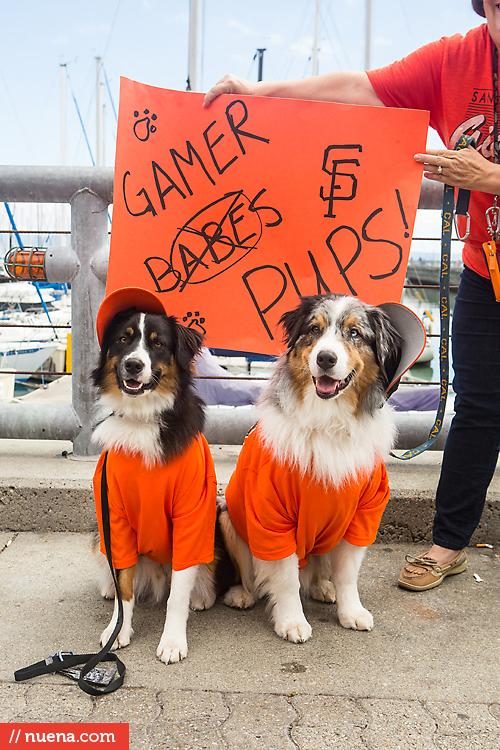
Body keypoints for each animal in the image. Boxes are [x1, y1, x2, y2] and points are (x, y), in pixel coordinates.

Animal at [91, 288, 216, 664]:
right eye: (123, 339)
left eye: (159, 344)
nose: (134, 364)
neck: (142, 418)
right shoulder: (114, 515)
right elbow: (125, 587)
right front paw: (116, 629)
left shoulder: (190, 514)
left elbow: (178, 594)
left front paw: (173, 641)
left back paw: (201, 595)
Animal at [219, 296, 402, 644]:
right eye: (314, 330)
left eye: (355, 333)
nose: (326, 358)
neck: (328, 421)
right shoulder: (272, 516)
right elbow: (286, 579)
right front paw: (291, 621)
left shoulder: (363, 515)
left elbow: (348, 574)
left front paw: (351, 611)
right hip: (228, 519)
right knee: (250, 575)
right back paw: (242, 594)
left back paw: (323, 588)